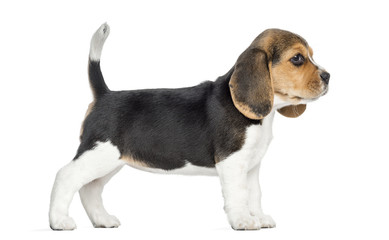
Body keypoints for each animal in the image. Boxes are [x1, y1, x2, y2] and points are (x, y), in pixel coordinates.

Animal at [48, 23, 328, 231]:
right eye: (298, 58)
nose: (328, 76)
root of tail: (104, 95)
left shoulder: (251, 166)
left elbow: (254, 194)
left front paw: (258, 217)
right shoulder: (232, 163)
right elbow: (238, 194)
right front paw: (243, 221)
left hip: (110, 160)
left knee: (90, 188)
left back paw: (102, 220)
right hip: (98, 153)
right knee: (65, 176)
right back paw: (59, 221)